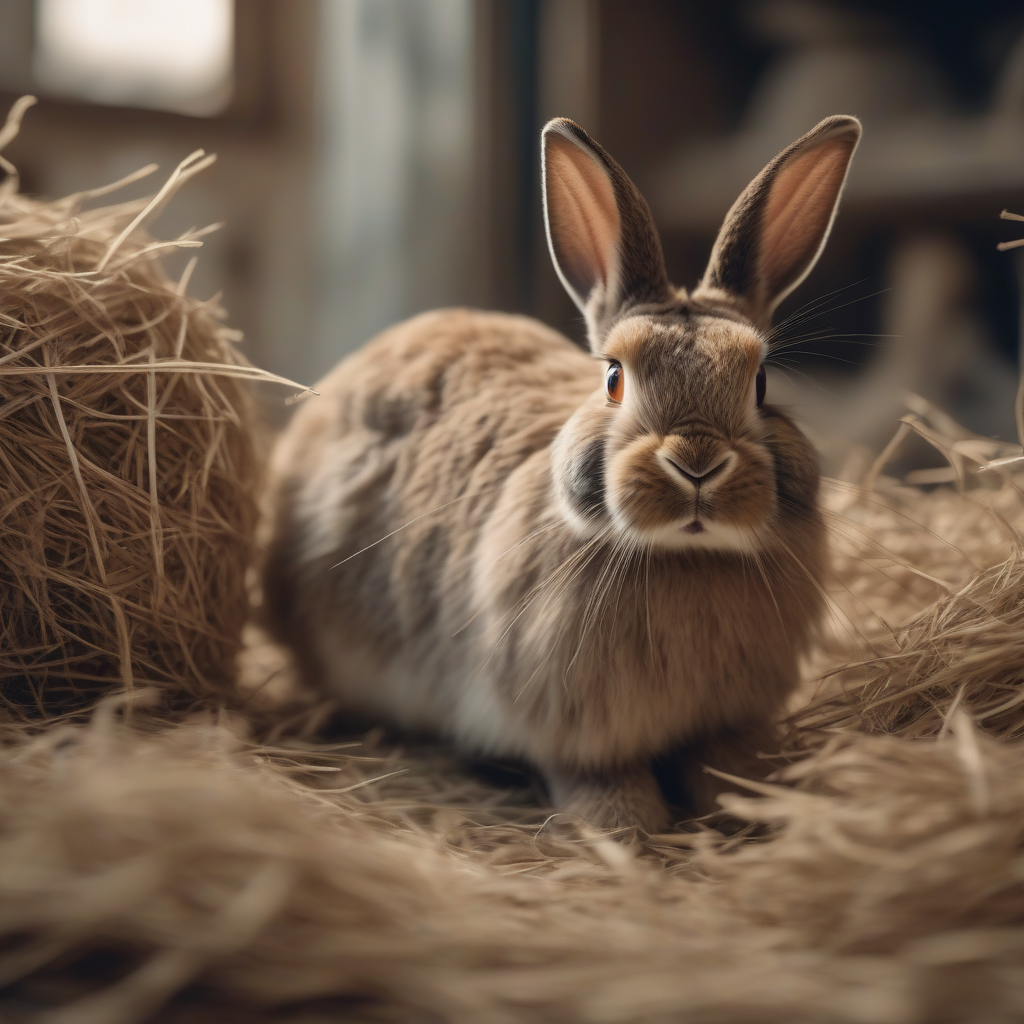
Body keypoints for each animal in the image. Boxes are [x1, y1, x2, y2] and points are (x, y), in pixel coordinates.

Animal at [260, 114, 861, 832]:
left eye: (762, 383)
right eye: (614, 378)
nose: (697, 463)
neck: (685, 558)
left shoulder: (726, 718)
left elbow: (728, 763)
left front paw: (759, 801)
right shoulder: (566, 727)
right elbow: (599, 778)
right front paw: (626, 824)